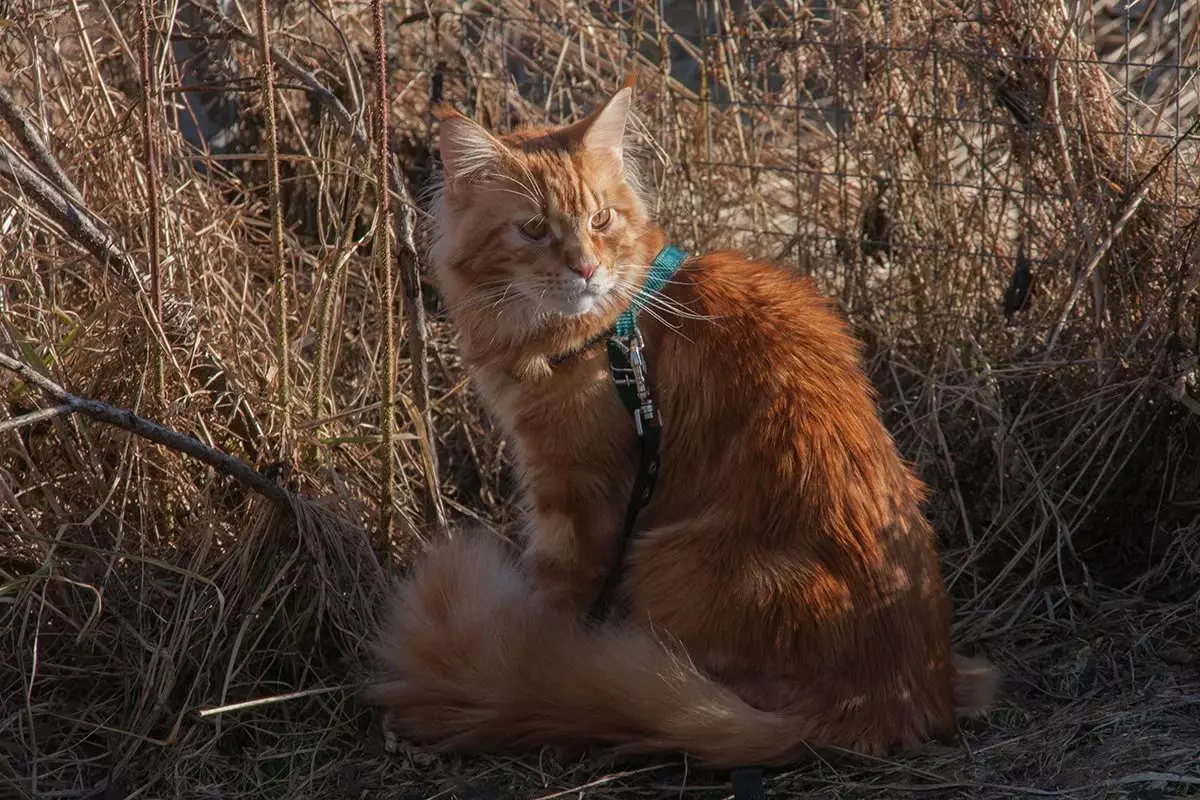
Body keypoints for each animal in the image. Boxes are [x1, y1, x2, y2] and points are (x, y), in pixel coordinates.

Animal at [372, 87, 993, 767]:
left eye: (600, 221)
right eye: (534, 229)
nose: (586, 270)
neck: (611, 327)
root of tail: (896, 699)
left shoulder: (574, 494)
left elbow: (547, 609)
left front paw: (521, 653)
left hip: (665, 559)